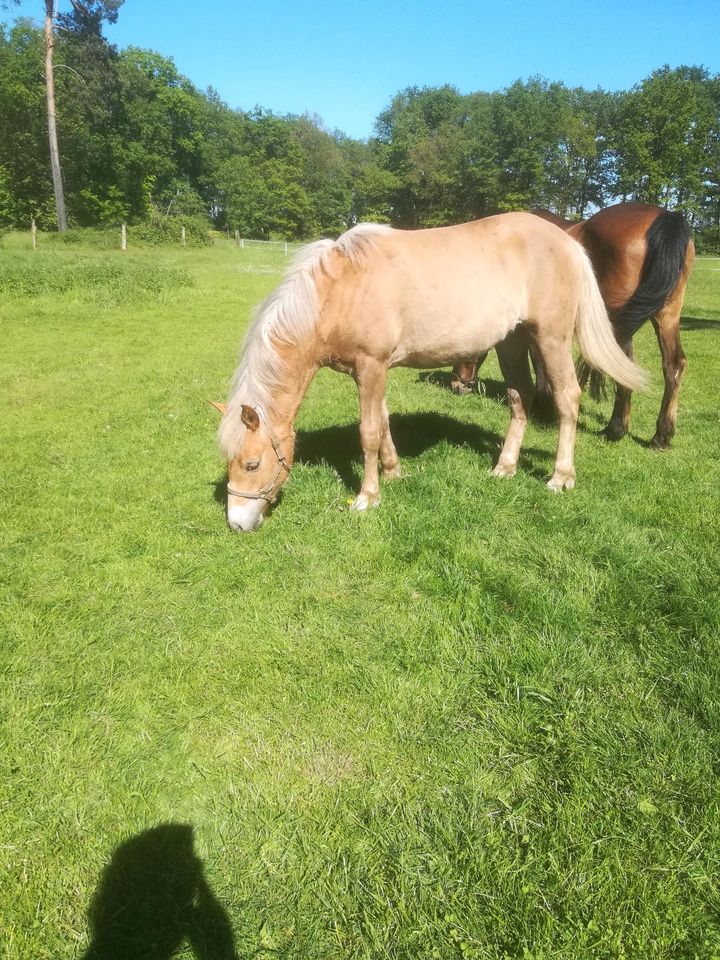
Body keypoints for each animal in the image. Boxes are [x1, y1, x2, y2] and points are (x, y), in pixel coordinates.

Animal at [214, 212, 648, 532]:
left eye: (252, 464)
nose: (236, 524)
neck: (339, 291)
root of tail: (569, 243)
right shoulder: (371, 371)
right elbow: (383, 422)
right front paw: (393, 473)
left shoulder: (370, 366)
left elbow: (368, 432)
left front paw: (367, 497)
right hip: (511, 341)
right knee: (519, 399)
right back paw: (504, 468)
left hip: (551, 339)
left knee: (567, 399)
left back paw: (561, 477)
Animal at [452, 202, 696, 450]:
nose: (457, 385)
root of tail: (666, 217)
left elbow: (538, 360)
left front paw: (544, 406)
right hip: (665, 315)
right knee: (672, 365)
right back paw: (660, 435)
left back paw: (616, 428)